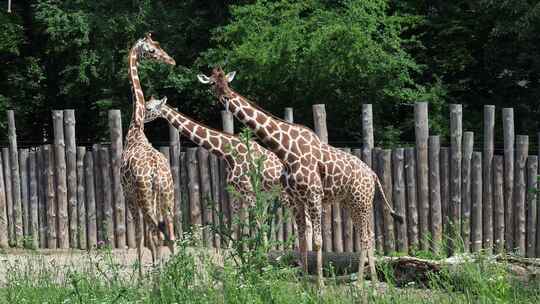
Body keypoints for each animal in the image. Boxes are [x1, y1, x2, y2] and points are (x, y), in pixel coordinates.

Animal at [142, 96, 296, 241]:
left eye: (148, 108)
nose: (140, 118)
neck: (228, 153)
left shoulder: (249, 191)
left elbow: (260, 224)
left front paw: (262, 250)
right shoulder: (236, 192)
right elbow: (235, 225)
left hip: (286, 195)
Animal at [197, 67, 400, 288]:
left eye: (228, 82)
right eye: (213, 83)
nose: (226, 95)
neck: (285, 149)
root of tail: (373, 174)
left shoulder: (313, 195)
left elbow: (318, 241)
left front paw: (320, 286)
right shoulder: (296, 199)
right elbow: (302, 239)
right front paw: (304, 283)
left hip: (362, 202)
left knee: (365, 237)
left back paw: (364, 284)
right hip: (352, 202)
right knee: (368, 235)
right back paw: (370, 282)